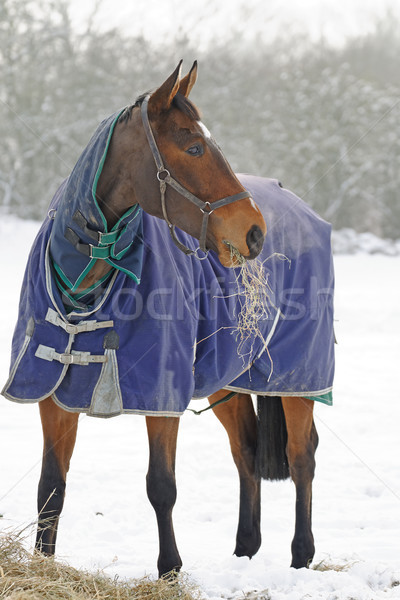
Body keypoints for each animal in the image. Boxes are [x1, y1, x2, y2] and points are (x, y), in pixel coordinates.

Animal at [2, 61, 332, 576]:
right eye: (193, 146)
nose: (254, 232)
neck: (86, 281)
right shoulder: (51, 394)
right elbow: (50, 487)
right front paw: (44, 564)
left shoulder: (161, 394)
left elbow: (161, 485)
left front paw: (171, 569)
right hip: (228, 377)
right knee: (246, 451)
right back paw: (245, 547)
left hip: (298, 378)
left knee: (301, 457)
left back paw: (301, 555)